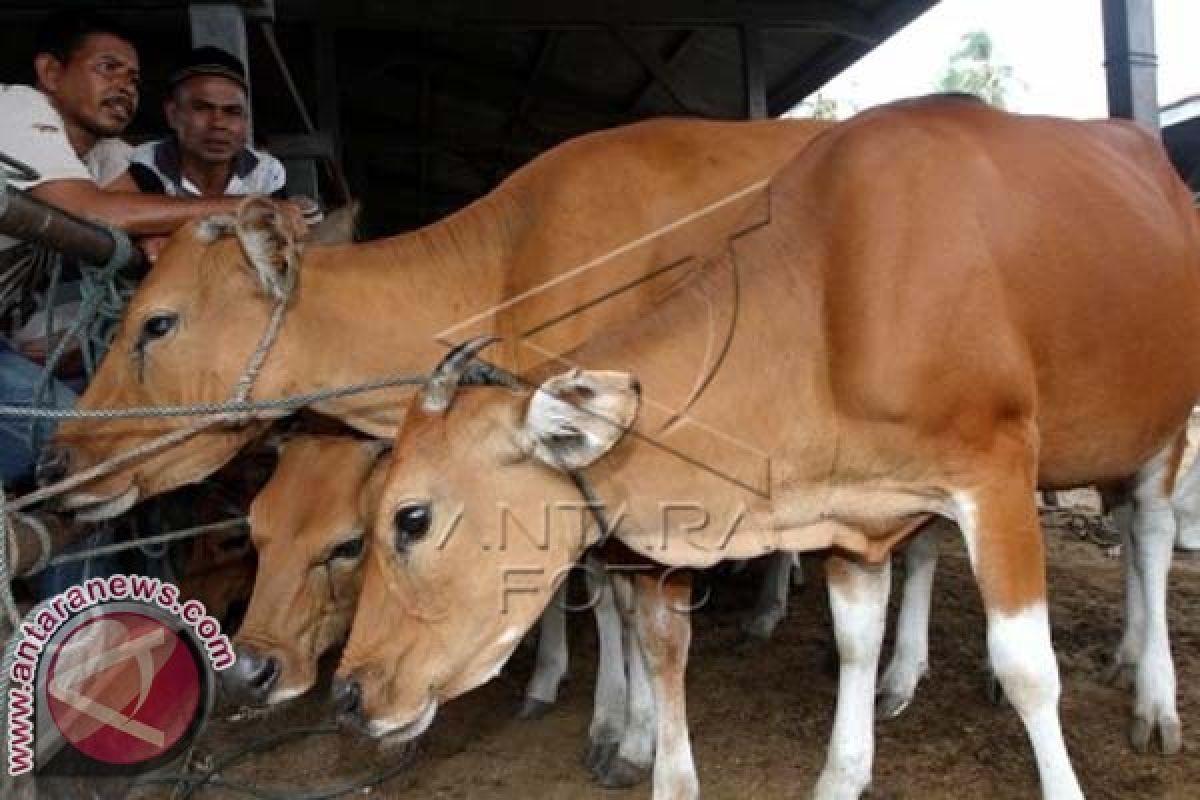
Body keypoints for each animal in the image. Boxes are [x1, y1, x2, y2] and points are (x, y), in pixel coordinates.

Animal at [333, 98, 1200, 800]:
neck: (831, 302)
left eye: (411, 518)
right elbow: (854, 643)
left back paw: (1154, 693)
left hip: (1166, 422)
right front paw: (843, 773)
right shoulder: (857, 510)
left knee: (1150, 536)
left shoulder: (997, 472)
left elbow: (1027, 667)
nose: (346, 694)